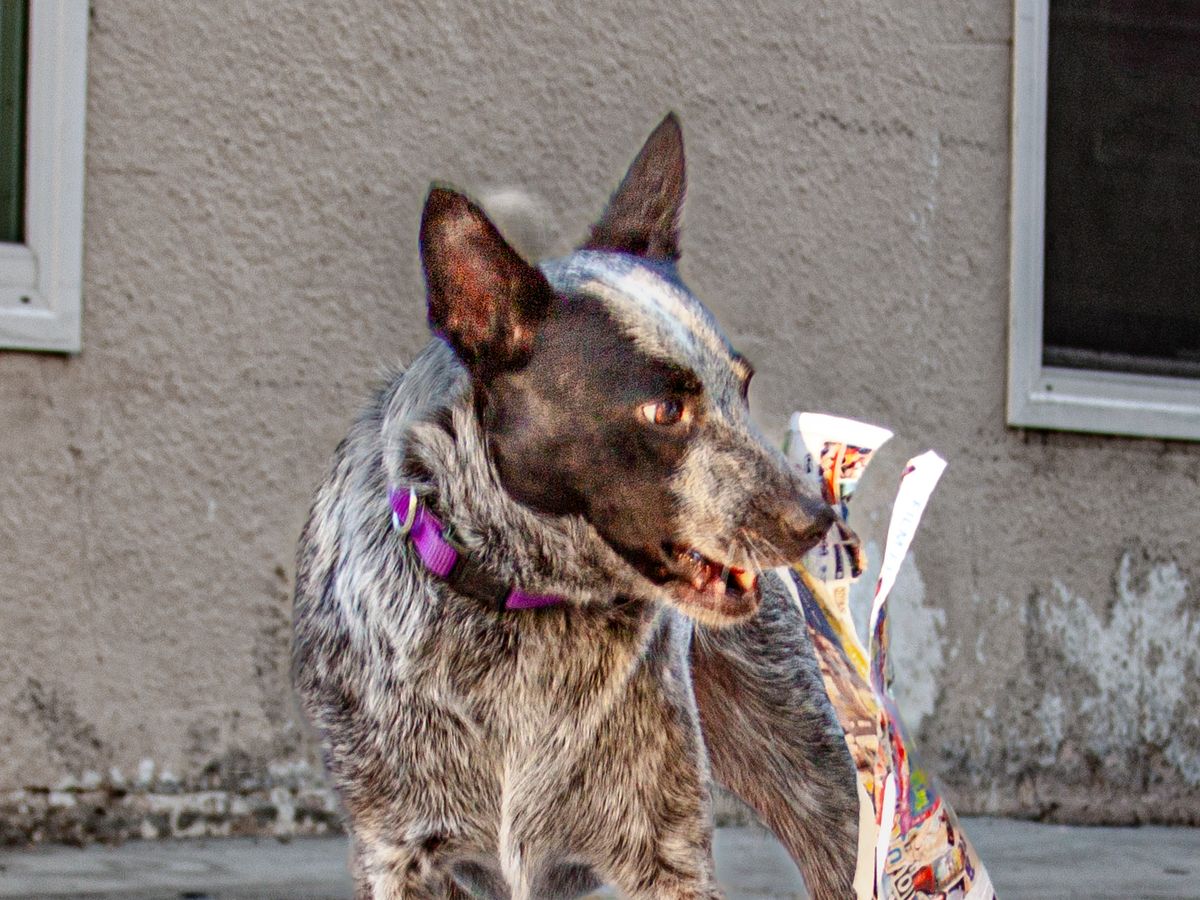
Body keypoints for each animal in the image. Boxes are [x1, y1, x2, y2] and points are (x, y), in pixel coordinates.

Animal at [298, 116, 864, 897]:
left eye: (741, 387)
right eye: (664, 410)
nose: (818, 520)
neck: (521, 606)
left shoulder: (669, 857)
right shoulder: (397, 854)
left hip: (822, 787)